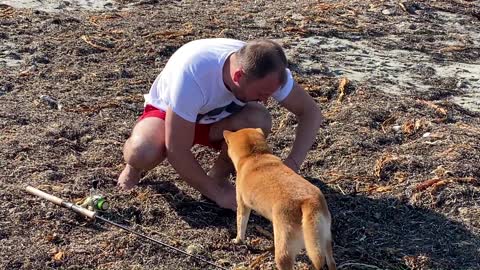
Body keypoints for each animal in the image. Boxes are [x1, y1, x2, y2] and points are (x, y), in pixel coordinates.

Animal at [223, 128, 336, 270]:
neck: (255, 156)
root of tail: (309, 202)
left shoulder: (242, 205)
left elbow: (240, 226)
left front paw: (237, 240)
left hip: (284, 251)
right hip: (325, 239)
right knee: (331, 261)